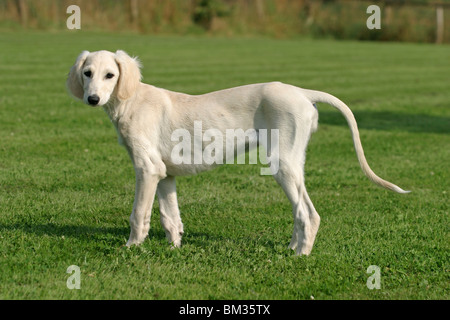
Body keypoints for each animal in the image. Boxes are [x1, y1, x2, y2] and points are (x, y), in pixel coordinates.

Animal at [67, 50, 412, 255]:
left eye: (110, 75)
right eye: (87, 73)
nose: (93, 99)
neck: (130, 100)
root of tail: (301, 92)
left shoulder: (147, 168)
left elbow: (139, 214)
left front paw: (131, 248)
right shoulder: (165, 174)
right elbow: (170, 217)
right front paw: (174, 248)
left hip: (281, 165)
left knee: (308, 214)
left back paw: (301, 255)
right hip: (292, 163)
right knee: (301, 212)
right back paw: (292, 247)